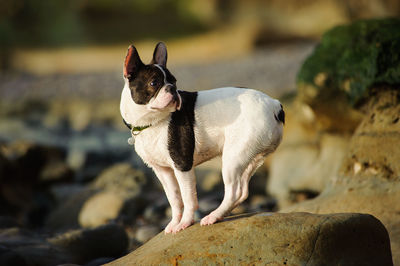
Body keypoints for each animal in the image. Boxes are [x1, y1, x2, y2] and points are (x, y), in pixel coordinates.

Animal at [119, 42, 284, 233]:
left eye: (174, 81)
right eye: (154, 83)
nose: (172, 89)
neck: (153, 122)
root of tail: (274, 105)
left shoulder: (182, 165)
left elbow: (188, 198)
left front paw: (185, 223)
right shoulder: (163, 171)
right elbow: (174, 199)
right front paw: (174, 223)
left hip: (233, 158)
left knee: (233, 191)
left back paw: (213, 216)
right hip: (252, 156)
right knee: (242, 191)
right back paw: (219, 214)